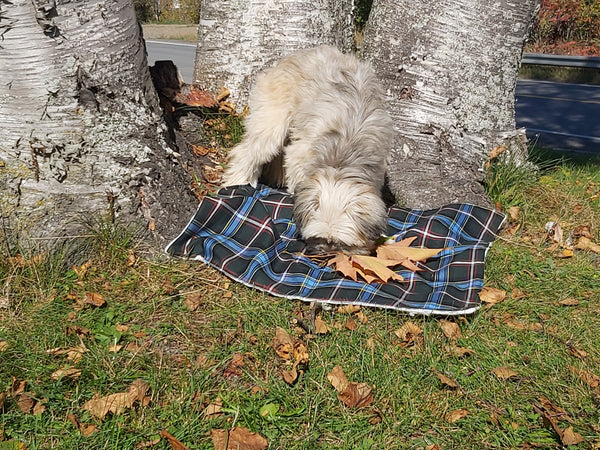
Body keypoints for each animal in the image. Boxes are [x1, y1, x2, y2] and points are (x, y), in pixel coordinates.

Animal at [223, 48, 392, 256]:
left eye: (343, 244)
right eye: (321, 238)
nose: (327, 253)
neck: (343, 152)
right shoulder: (301, 154)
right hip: (272, 122)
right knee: (247, 151)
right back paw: (238, 181)